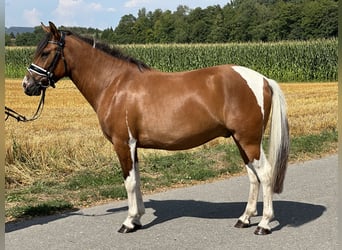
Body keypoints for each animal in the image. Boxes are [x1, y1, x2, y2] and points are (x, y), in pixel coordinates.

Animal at [22, 22, 288, 235]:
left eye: (46, 52)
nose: (27, 85)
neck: (114, 84)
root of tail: (263, 79)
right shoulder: (133, 146)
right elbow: (137, 180)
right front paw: (137, 219)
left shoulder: (123, 143)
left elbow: (129, 182)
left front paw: (128, 222)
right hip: (240, 140)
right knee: (253, 177)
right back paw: (244, 218)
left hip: (249, 140)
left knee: (265, 174)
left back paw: (264, 224)